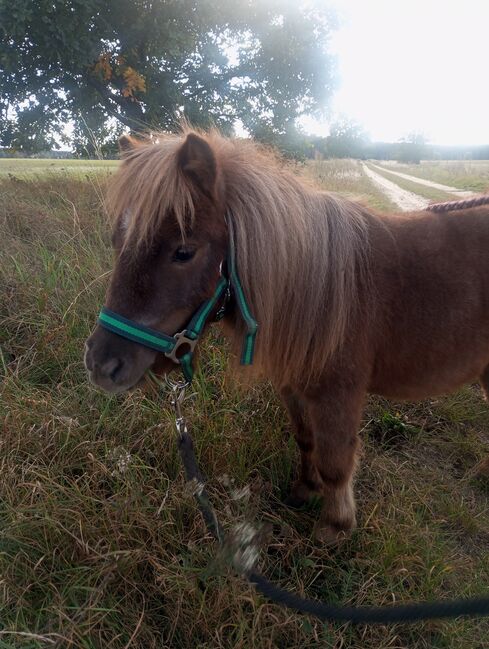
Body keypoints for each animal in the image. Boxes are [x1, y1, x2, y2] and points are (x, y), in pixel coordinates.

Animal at [85, 129, 489, 544]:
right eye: (117, 241)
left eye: (183, 252)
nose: (101, 364)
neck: (321, 287)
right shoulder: (295, 386)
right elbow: (305, 439)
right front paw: (305, 491)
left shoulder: (338, 395)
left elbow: (335, 460)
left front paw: (335, 526)